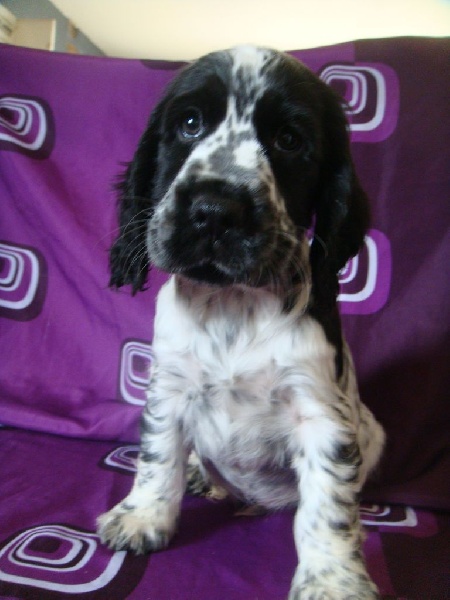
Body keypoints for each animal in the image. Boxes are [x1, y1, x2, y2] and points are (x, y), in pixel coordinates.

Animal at [97, 45, 385, 599]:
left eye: (290, 140)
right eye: (189, 123)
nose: (214, 210)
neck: (233, 303)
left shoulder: (323, 414)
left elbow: (328, 509)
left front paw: (332, 581)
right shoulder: (168, 387)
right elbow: (157, 457)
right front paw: (143, 518)